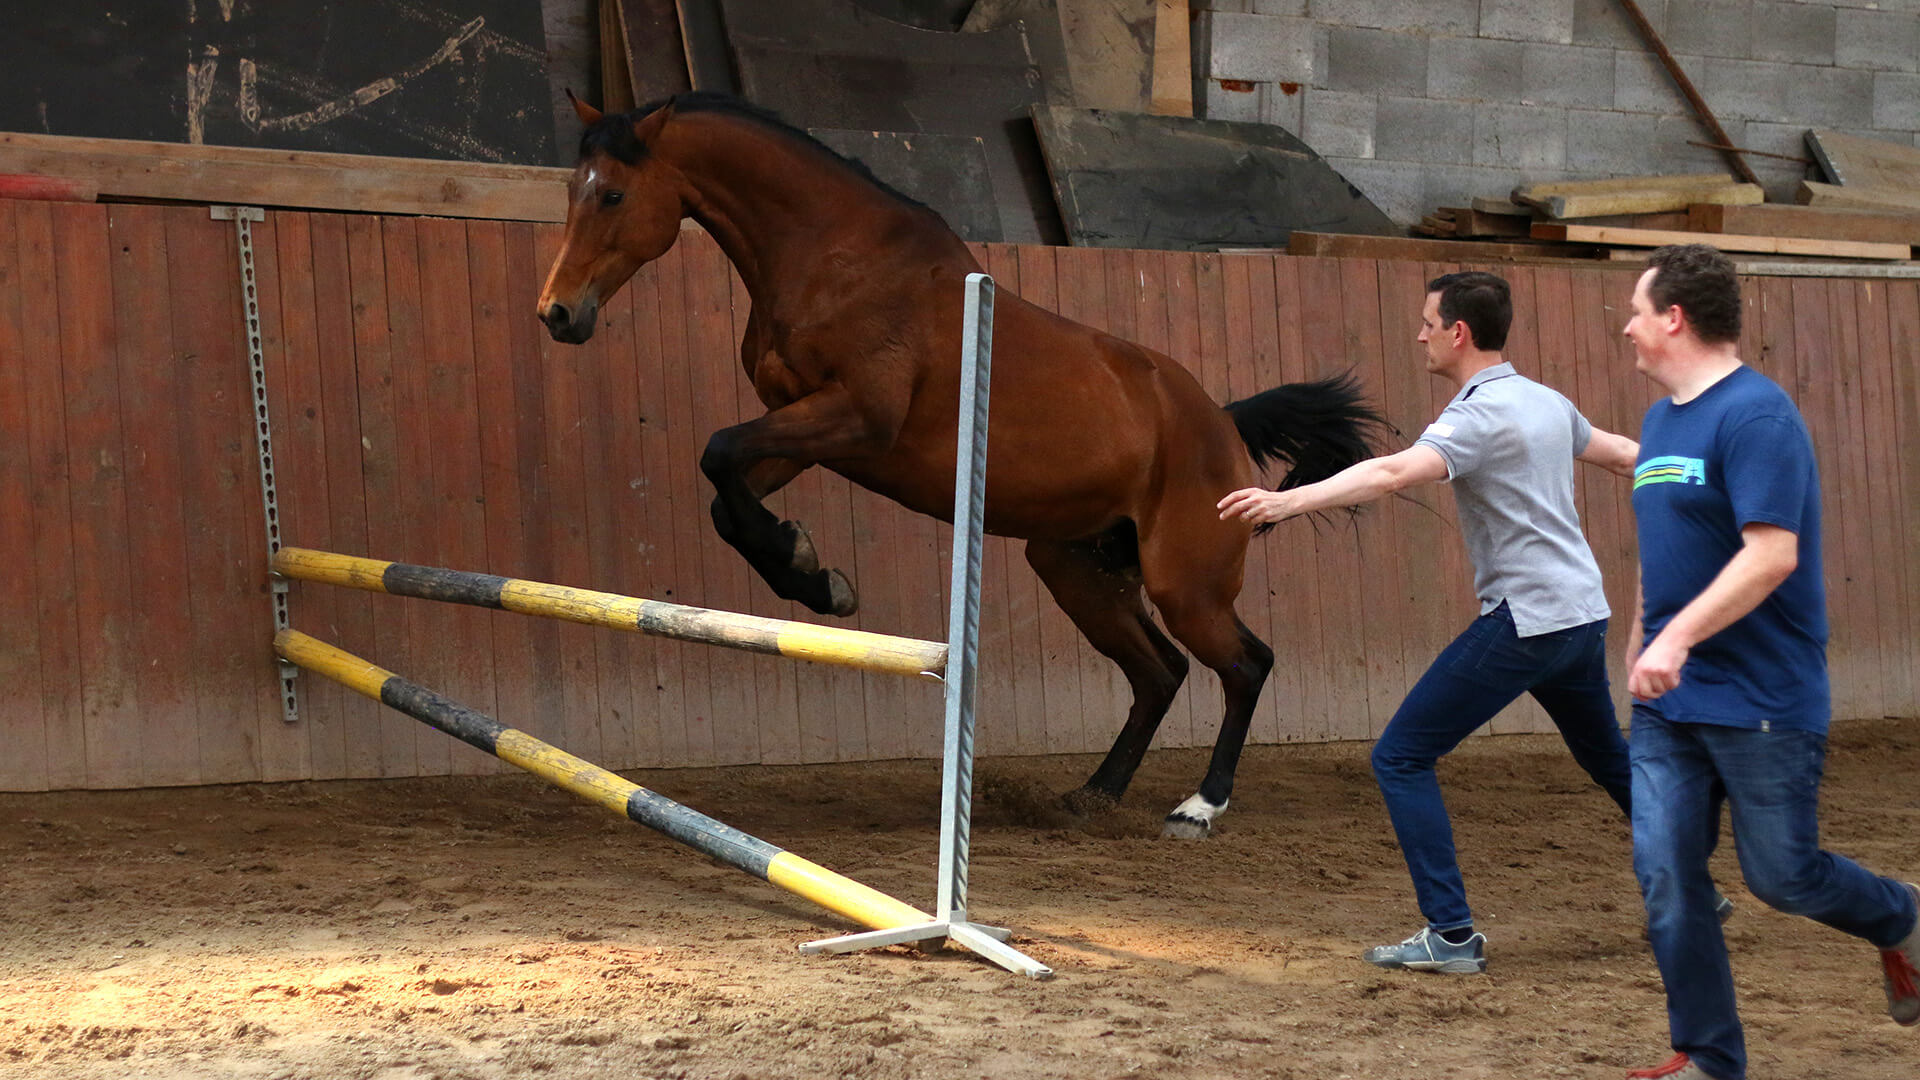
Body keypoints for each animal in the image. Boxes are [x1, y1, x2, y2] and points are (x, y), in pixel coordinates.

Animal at [533, 92, 1390, 837]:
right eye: (573, 190)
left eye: (612, 194)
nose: (557, 314)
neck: (836, 259)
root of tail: (1222, 423)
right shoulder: (804, 433)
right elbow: (725, 490)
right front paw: (810, 574)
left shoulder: (854, 421)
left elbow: (719, 454)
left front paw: (816, 577)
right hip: (1076, 567)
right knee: (1160, 673)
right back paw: (1093, 796)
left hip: (1188, 583)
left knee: (1243, 665)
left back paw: (1198, 808)